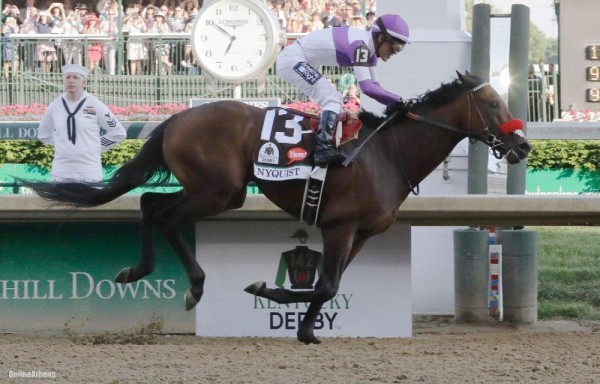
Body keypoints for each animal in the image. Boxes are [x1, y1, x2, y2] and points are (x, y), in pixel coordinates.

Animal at [23, 70, 528, 344]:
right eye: (491, 101)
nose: (522, 145)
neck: (387, 154)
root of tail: (179, 117)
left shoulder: (361, 234)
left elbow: (327, 286)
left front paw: (299, 323)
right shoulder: (340, 226)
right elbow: (326, 285)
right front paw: (273, 298)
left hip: (214, 190)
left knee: (149, 202)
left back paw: (140, 270)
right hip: (217, 190)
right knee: (164, 216)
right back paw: (188, 285)